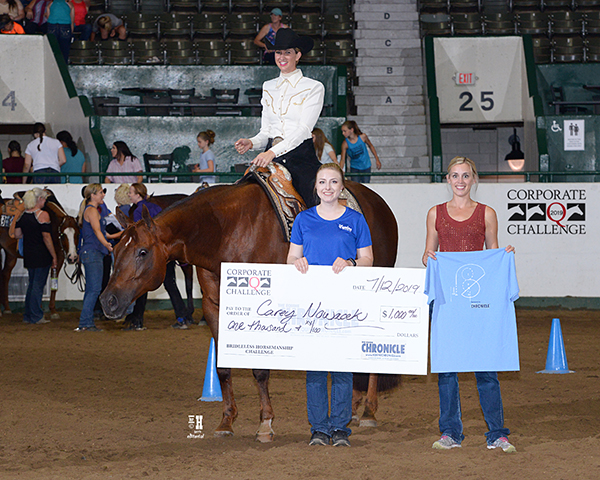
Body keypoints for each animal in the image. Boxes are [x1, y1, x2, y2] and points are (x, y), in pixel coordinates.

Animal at [100, 181, 398, 442]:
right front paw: (226, 422)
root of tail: (381, 204)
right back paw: (354, 409)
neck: (225, 232)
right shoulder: (213, 305)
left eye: (142, 251)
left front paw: (265, 424)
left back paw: (369, 411)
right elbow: (223, 368)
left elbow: (260, 369)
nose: (107, 301)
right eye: (116, 248)